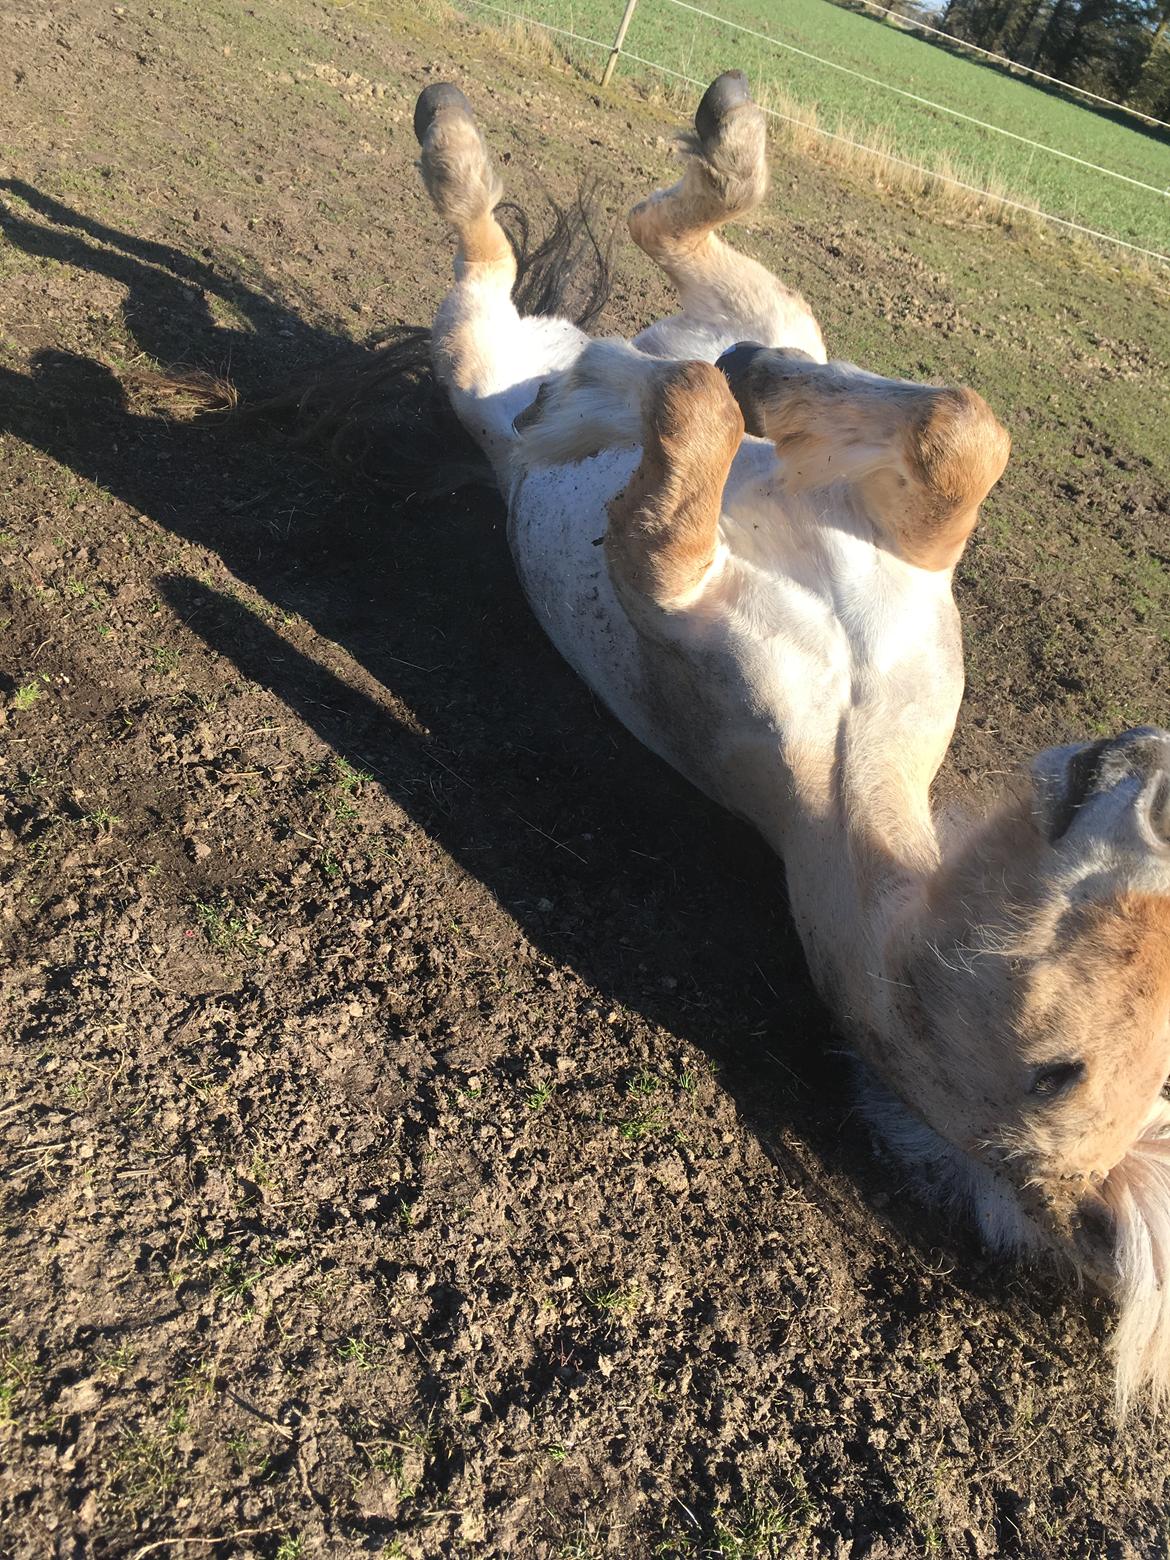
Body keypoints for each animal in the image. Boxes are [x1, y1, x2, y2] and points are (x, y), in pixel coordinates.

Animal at [408, 73, 1170, 1410]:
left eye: (1063, 1072)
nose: (1148, 772)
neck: (858, 749)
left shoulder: (669, 587)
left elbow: (682, 441)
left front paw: (638, 403)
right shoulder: (902, 529)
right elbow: (965, 435)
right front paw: (732, 387)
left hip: (475, 352)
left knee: (491, 258)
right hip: (764, 301)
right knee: (684, 247)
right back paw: (719, 167)